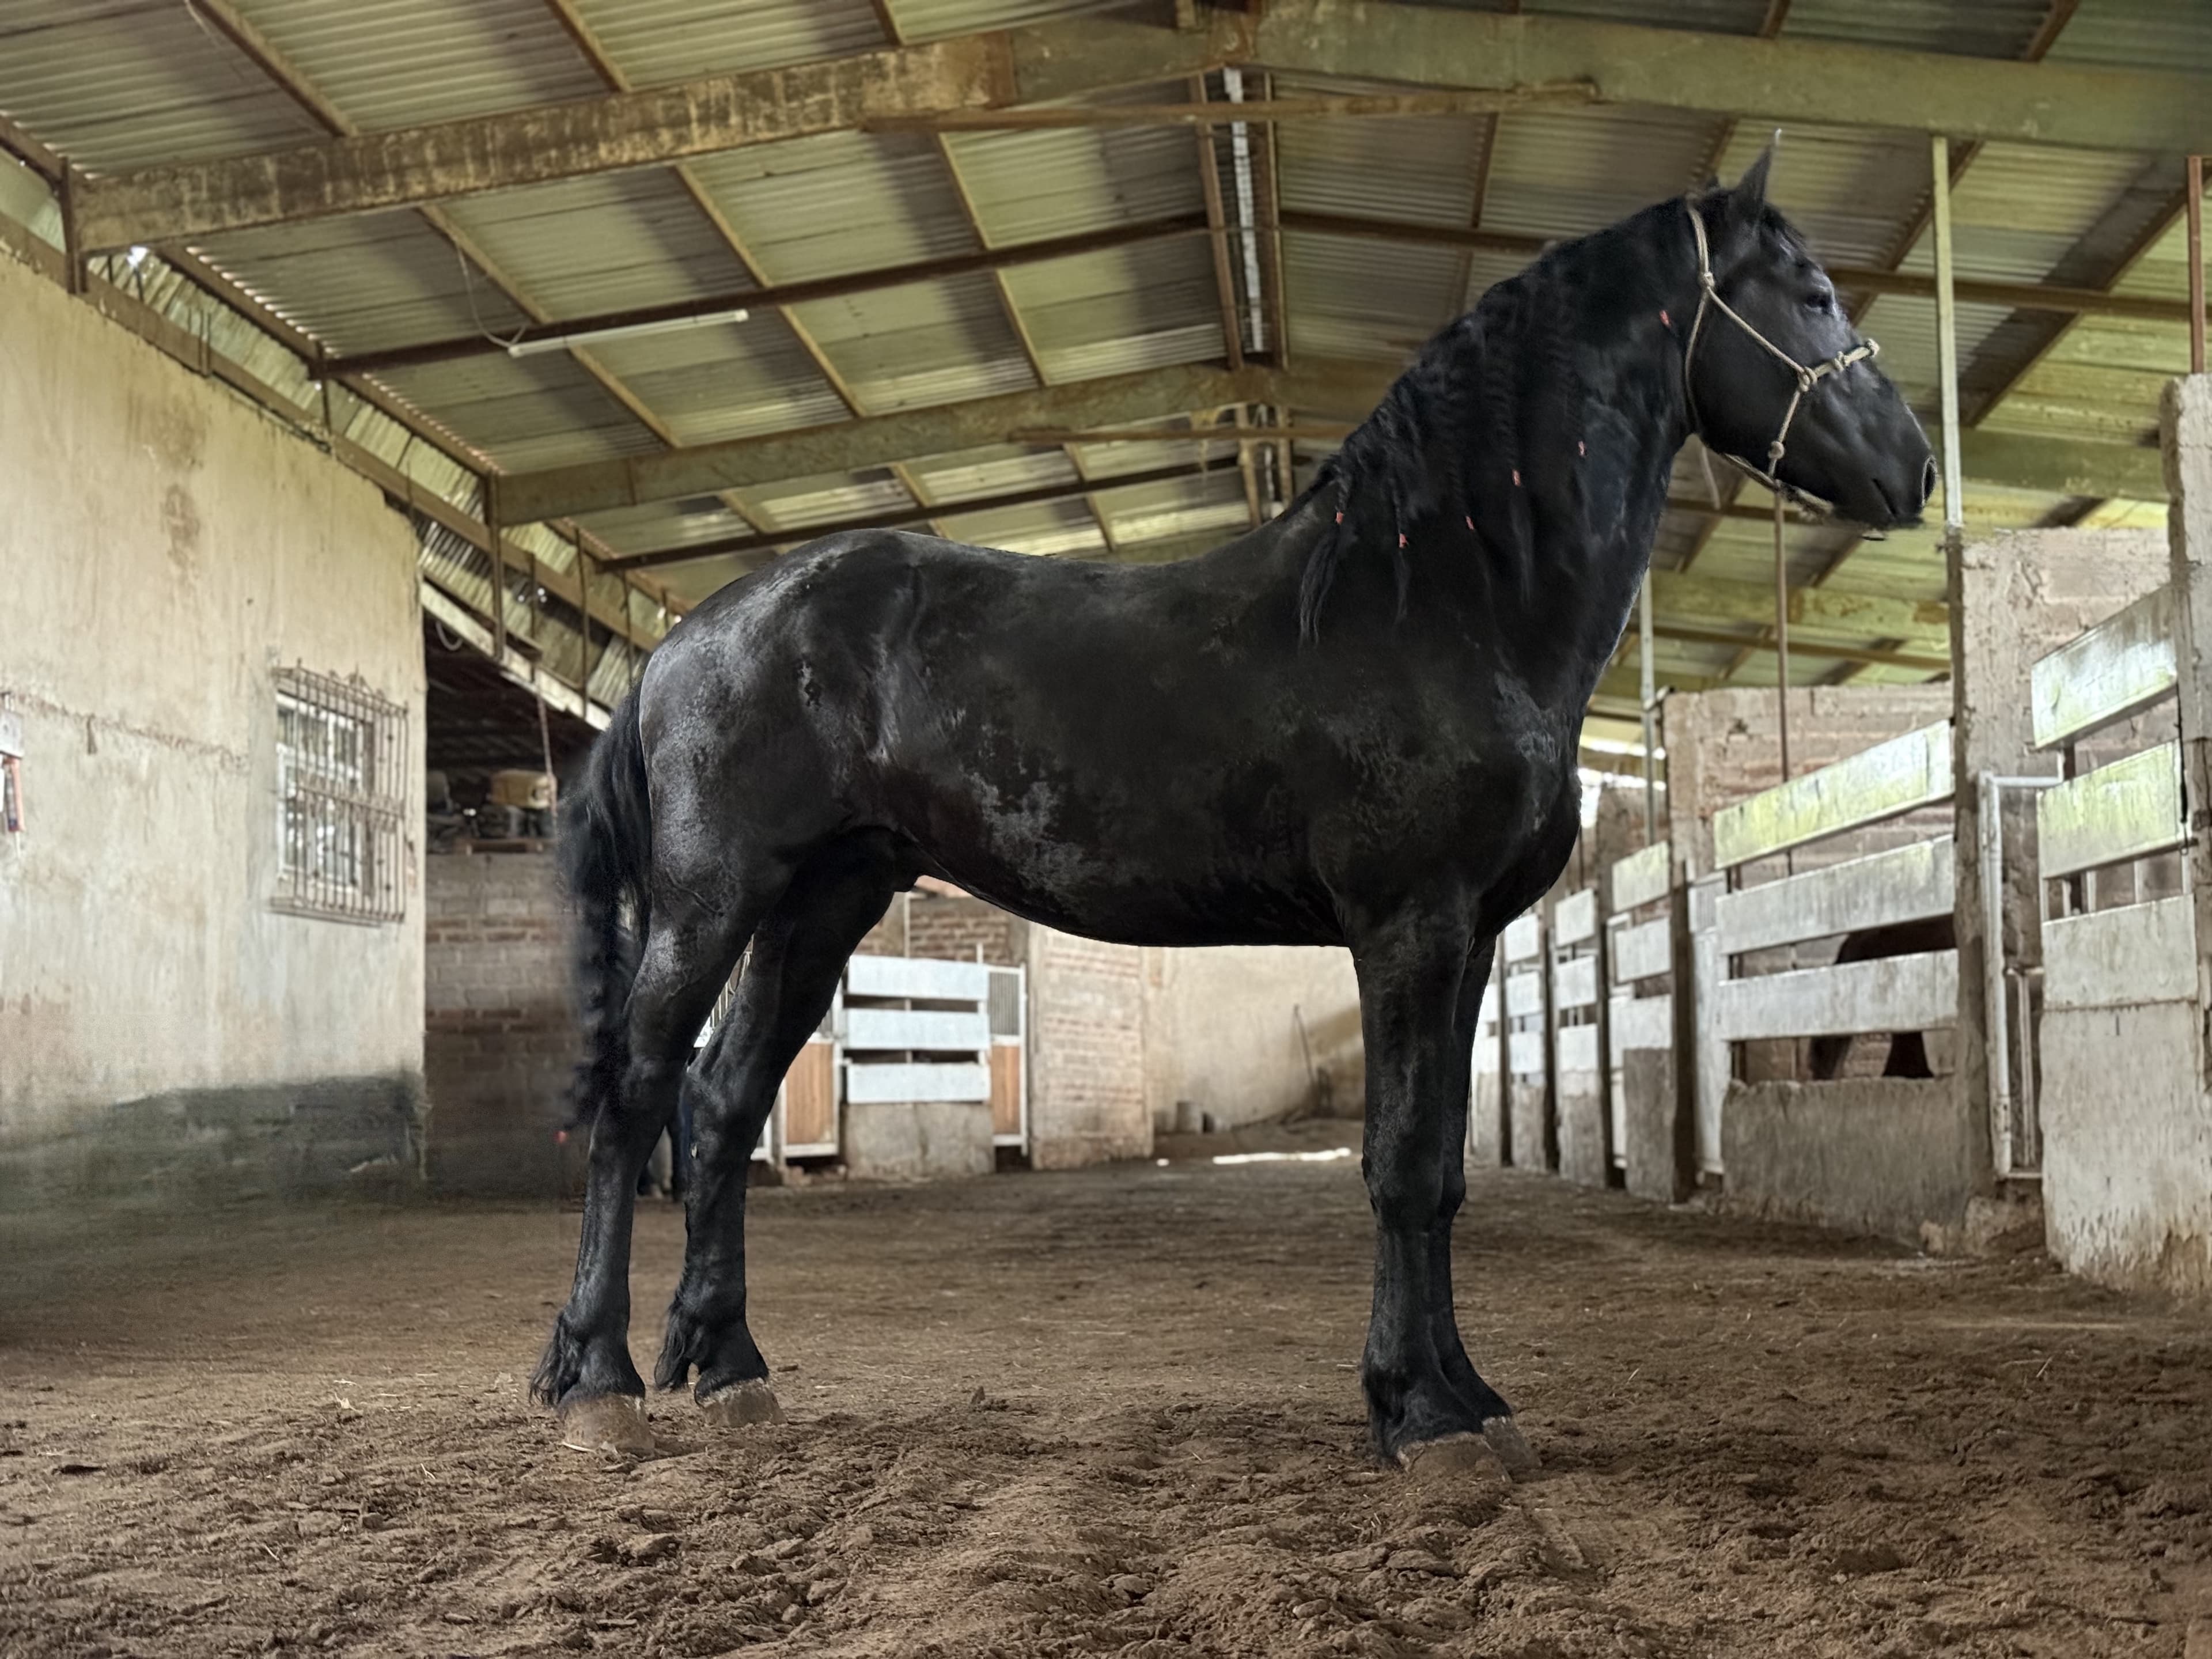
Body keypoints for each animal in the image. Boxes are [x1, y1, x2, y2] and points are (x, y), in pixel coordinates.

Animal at [532, 150, 1934, 1469]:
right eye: (1812, 295)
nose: (1916, 468)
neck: (1443, 601)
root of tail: (680, 641)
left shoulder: (1472, 939)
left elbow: (1441, 1175)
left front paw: (1470, 1399)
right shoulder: (1409, 927)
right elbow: (1399, 1163)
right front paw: (1423, 1417)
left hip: (825, 900)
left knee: (725, 1104)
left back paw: (730, 1371)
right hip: (713, 901)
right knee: (640, 1096)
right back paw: (599, 1383)